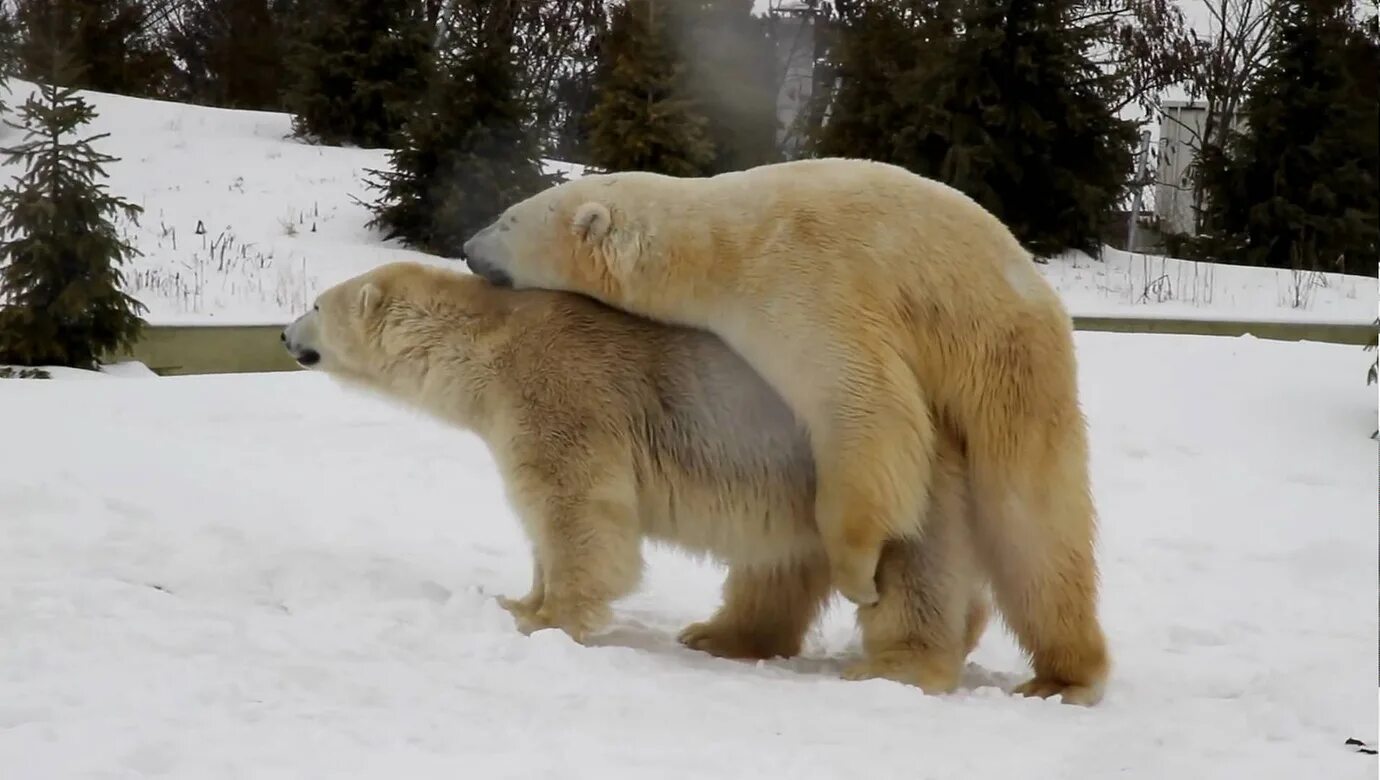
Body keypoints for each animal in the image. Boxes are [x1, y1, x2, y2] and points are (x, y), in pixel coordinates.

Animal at [460, 155, 1109, 701]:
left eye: (507, 218)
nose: (466, 247)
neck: (719, 239)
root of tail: (1043, 297)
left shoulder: (803, 285)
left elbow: (868, 411)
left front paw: (859, 575)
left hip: (1004, 366)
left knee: (1033, 527)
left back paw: (1063, 677)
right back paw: (716, 634)